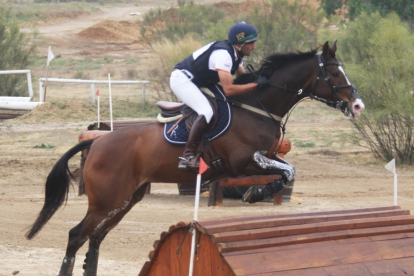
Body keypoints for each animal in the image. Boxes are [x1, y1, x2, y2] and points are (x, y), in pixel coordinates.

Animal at [25, 41, 364, 276]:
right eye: (334, 72)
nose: (357, 105)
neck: (258, 106)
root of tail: (96, 143)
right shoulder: (244, 160)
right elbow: (286, 171)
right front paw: (255, 194)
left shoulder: (264, 156)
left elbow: (287, 171)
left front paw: (257, 192)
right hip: (107, 199)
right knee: (76, 236)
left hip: (126, 199)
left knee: (95, 238)